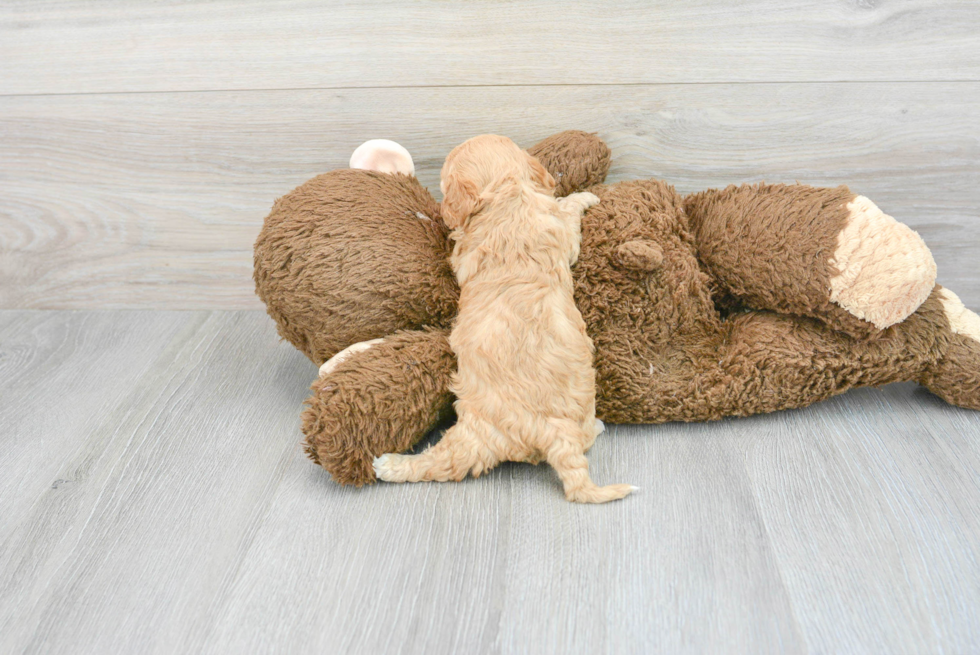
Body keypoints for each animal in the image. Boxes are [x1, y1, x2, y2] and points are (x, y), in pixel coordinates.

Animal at [372, 133, 632, 502]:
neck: (509, 196)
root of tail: (556, 434)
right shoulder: (557, 229)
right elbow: (565, 212)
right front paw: (585, 196)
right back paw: (596, 426)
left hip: (475, 431)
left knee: (445, 463)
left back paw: (390, 465)